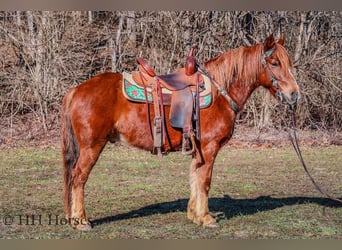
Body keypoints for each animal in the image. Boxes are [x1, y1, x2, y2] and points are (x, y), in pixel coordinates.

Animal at [60, 33, 300, 230]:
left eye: (289, 63)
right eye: (275, 63)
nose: (294, 94)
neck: (220, 93)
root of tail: (75, 90)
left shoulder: (198, 150)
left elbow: (195, 177)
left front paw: (195, 215)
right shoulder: (209, 148)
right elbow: (205, 181)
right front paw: (207, 218)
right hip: (92, 146)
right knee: (78, 177)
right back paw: (81, 221)